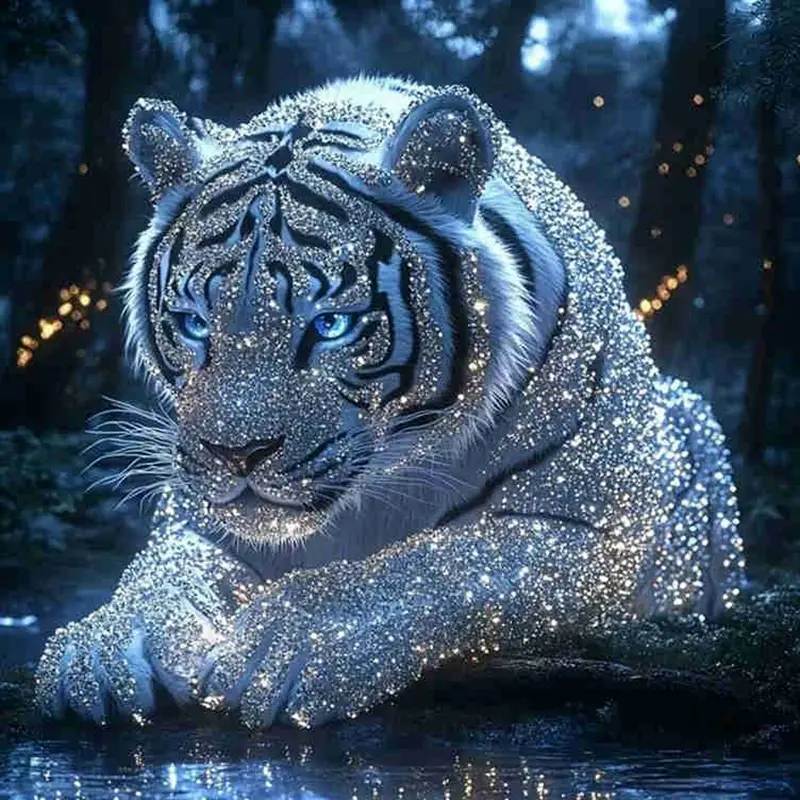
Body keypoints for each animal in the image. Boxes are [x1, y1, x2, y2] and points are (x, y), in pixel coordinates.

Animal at [35, 76, 744, 729]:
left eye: (330, 326)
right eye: (193, 324)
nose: (236, 455)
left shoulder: (599, 531)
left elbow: (440, 563)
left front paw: (290, 642)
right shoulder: (196, 519)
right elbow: (161, 574)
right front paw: (100, 650)